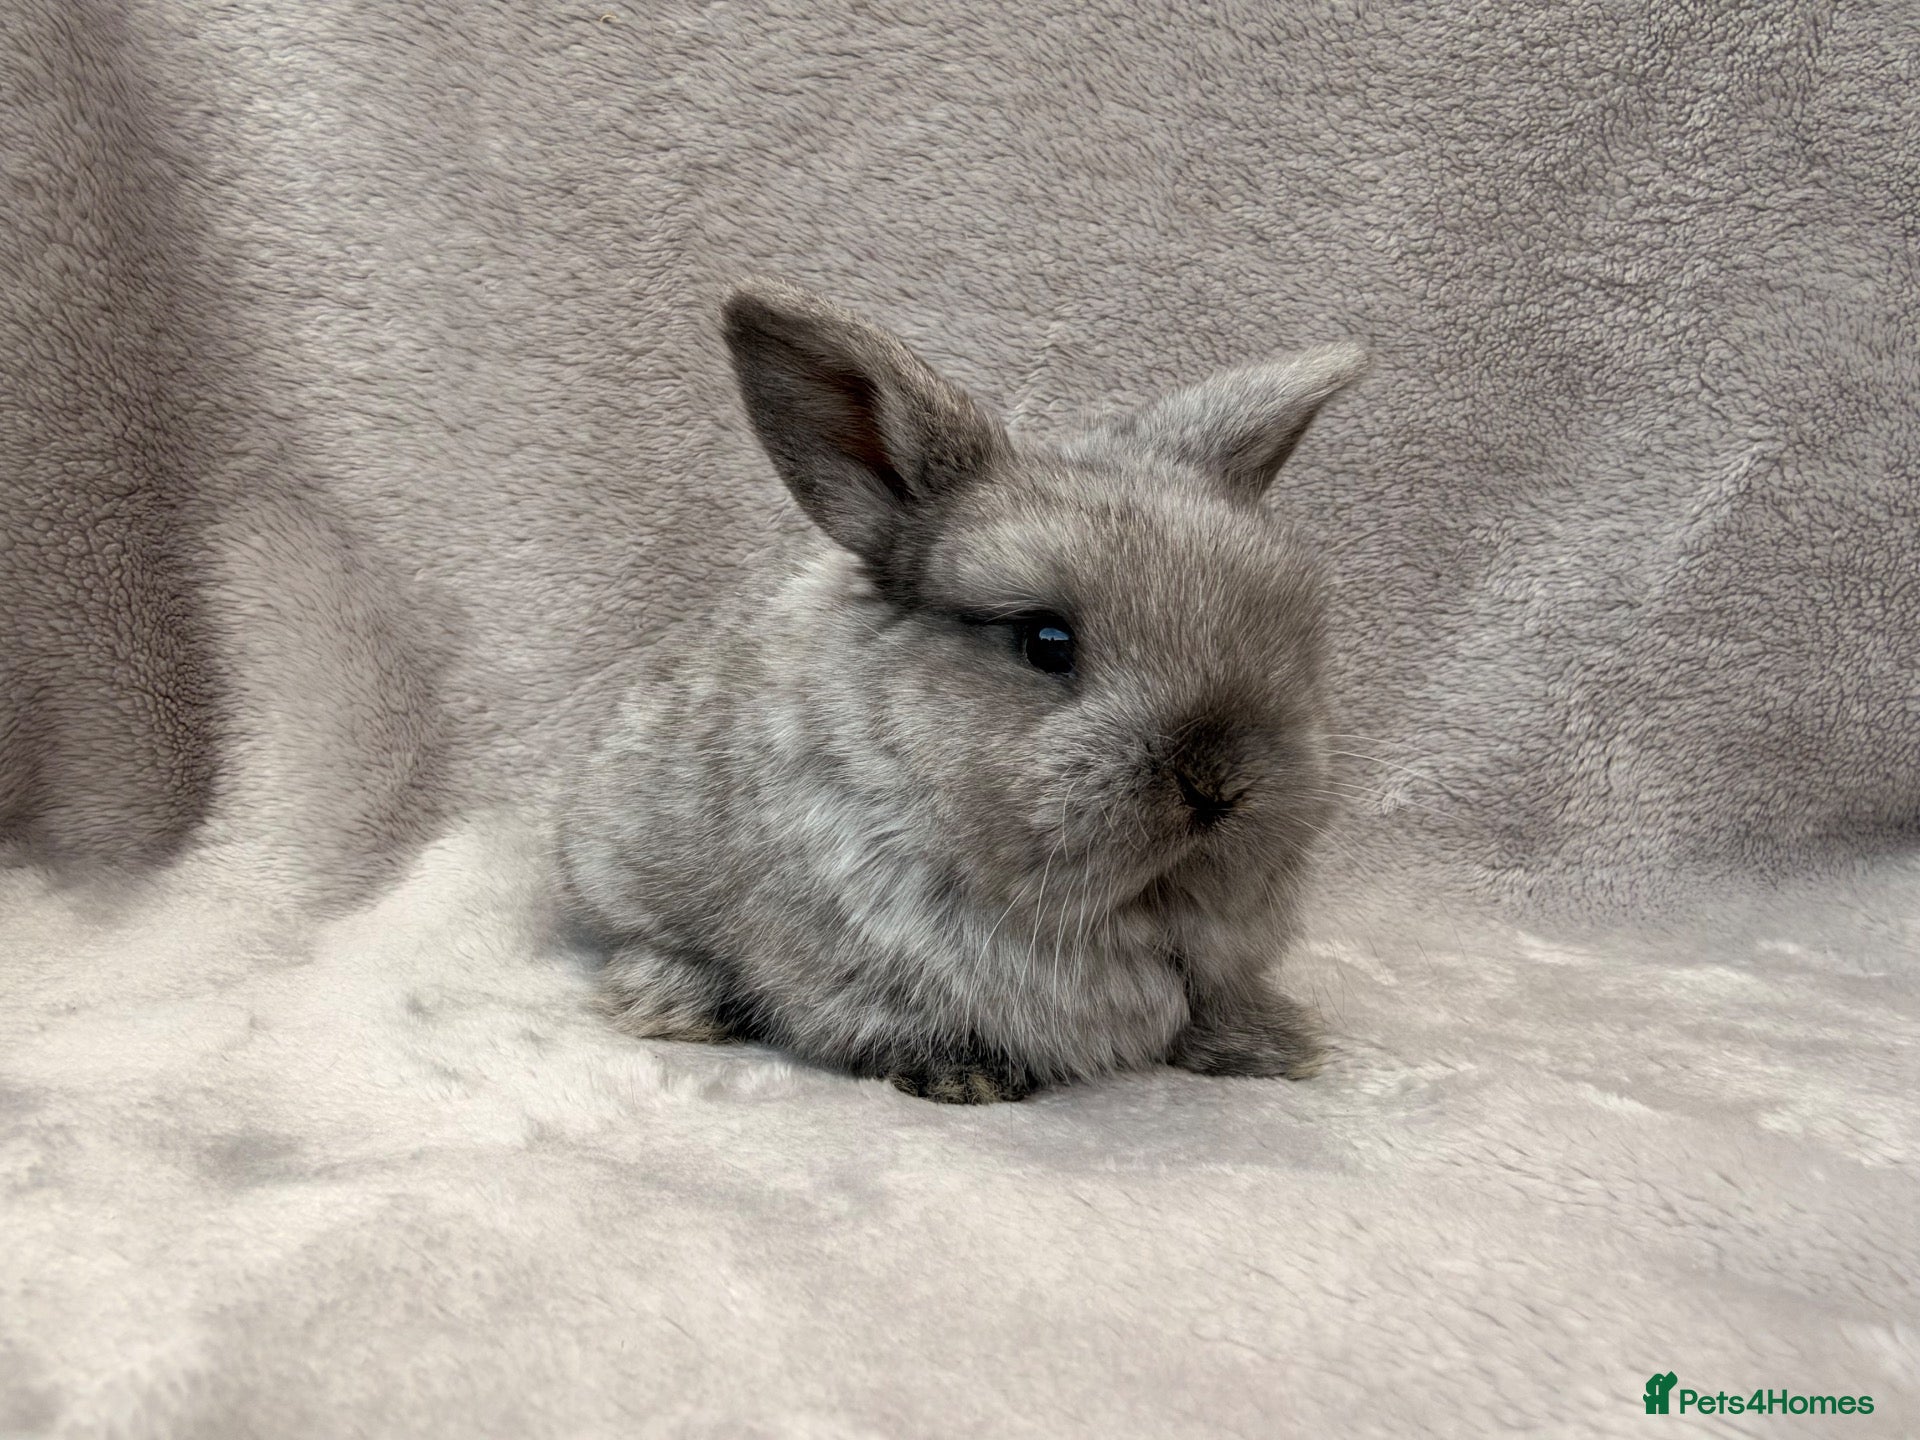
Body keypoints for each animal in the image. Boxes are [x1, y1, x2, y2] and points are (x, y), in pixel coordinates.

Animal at [558, 279, 1365, 1103]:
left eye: (1289, 632)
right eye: (1046, 642)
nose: (1219, 784)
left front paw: (1278, 1049)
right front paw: (966, 1076)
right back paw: (672, 1002)